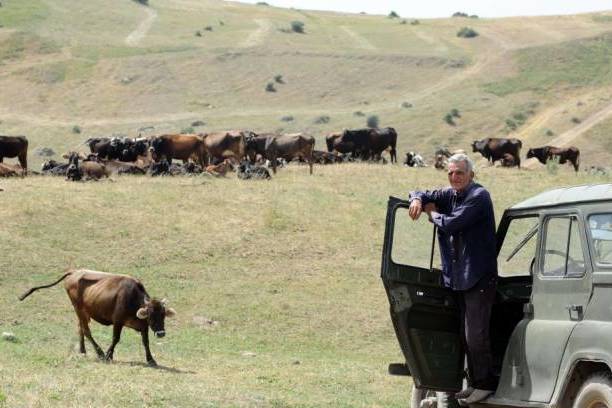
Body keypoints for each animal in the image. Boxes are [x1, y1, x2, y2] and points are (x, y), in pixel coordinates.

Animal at [19, 268, 176, 366]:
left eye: (163, 315)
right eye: (151, 315)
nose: (161, 333)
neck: (133, 299)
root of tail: (75, 271)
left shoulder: (143, 326)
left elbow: (146, 342)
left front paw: (151, 360)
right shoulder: (118, 321)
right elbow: (115, 339)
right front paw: (108, 355)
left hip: (82, 312)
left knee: (80, 328)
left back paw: (83, 351)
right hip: (78, 308)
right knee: (86, 331)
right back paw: (99, 353)